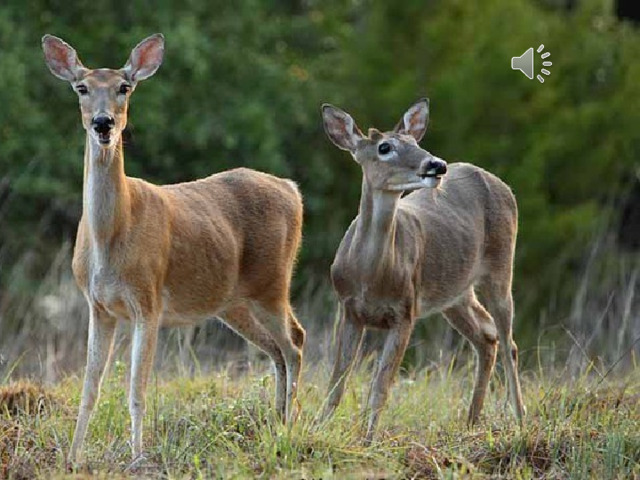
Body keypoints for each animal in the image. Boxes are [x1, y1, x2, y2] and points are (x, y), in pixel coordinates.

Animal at [41, 32, 306, 462]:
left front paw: (137, 457)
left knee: (295, 342)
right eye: (81, 87)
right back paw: (277, 422)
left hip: (273, 281)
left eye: (124, 87)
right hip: (232, 303)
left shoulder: (148, 301)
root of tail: (293, 189)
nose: (103, 123)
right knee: (277, 350)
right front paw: (72, 457)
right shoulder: (98, 306)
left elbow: (136, 389)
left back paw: (288, 430)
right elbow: (89, 388)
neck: (110, 238)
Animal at [320, 98, 524, 442]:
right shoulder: (349, 310)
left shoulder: (406, 311)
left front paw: (368, 440)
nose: (436, 165)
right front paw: (311, 427)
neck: (370, 276)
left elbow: (380, 387)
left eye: (415, 143)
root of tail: (502, 184)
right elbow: (337, 383)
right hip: (455, 292)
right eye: (385, 147)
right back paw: (471, 421)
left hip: (500, 266)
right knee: (486, 335)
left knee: (508, 342)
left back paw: (521, 420)